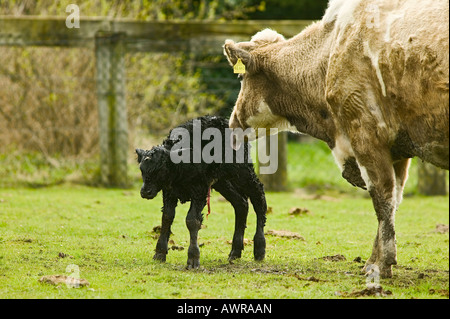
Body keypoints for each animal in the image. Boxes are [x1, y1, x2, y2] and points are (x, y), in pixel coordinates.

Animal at [223, 0, 448, 278]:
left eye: (241, 78)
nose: (232, 122)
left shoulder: (365, 131)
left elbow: (382, 197)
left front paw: (380, 264)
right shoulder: (397, 150)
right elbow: (393, 200)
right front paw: (374, 259)